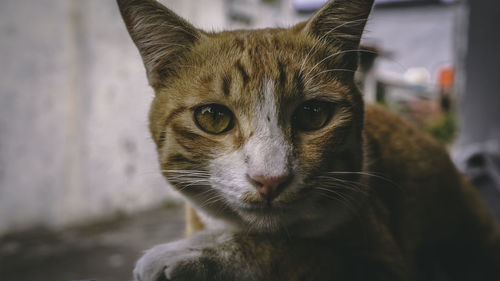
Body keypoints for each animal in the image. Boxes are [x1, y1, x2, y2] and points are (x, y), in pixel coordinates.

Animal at [116, 0, 500, 278]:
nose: (269, 180)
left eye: (313, 114)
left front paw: (195, 252)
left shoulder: (385, 263)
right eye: (213, 118)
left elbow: (300, 251)